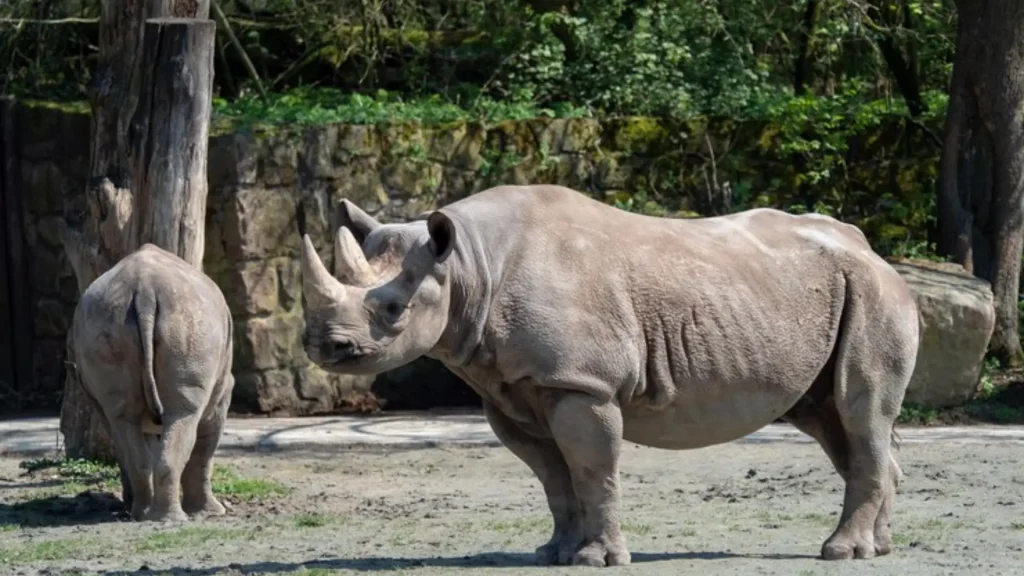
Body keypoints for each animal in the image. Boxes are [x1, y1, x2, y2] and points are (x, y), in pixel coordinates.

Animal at [64, 242, 235, 522]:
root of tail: (144, 289)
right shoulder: (222, 392)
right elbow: (204, 450)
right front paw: (212, 512)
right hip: (190, 319)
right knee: (184, 415)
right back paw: (170, 519)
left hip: (108, 320)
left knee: (126, 421)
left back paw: (142, 514)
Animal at [298, 185, 920, 567]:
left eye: (393, 309)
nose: (324, 345)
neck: (470, 266)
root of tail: (874, 252)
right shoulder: (513, 389)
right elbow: (554, 479)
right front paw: (553, 554)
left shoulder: (581, 382)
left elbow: (593, 470)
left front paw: (597, 559)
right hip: (831, 294)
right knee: (832, 418)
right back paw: (879, 548)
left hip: (875, 295)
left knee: (860, 409)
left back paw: (840, 551)